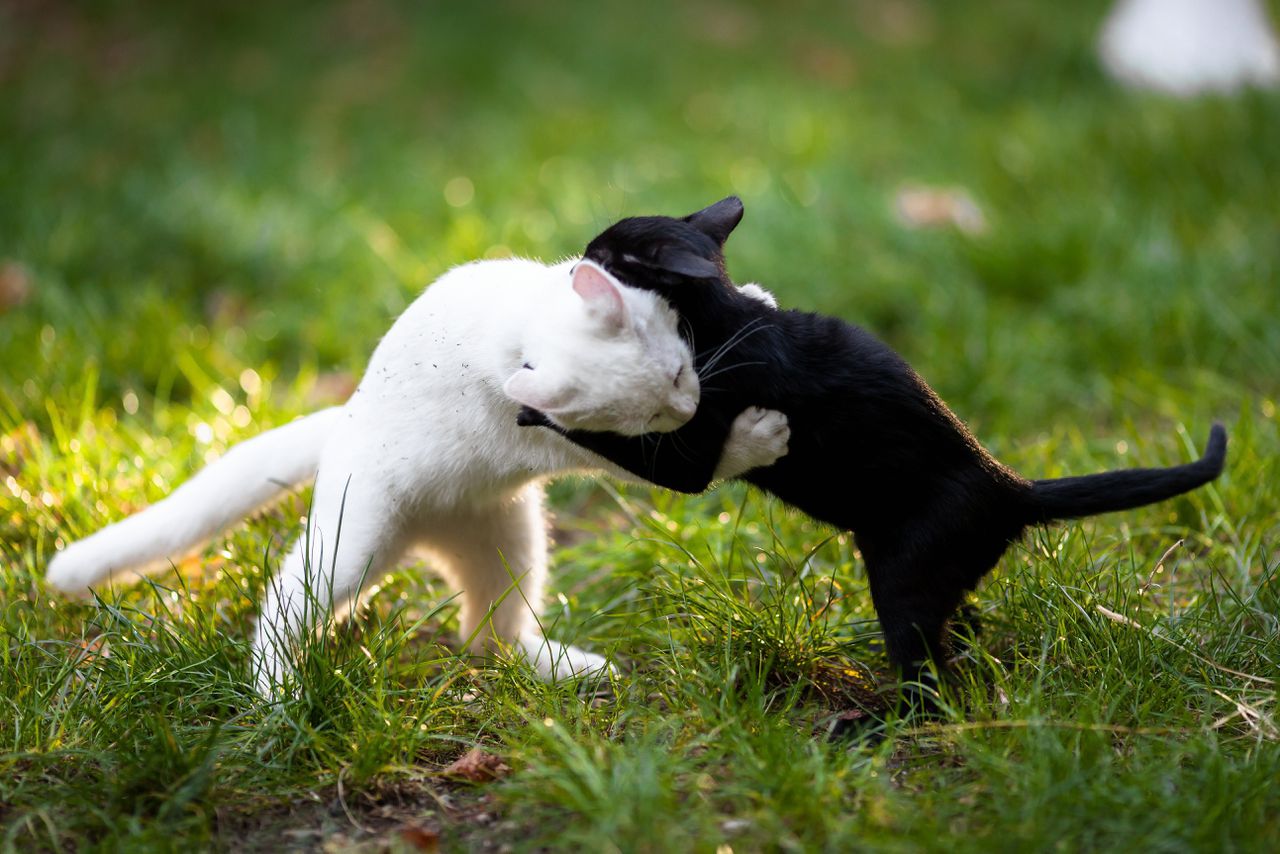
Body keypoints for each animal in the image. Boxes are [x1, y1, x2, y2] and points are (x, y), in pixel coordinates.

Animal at [47, 258, 788, 696]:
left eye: (678, 373)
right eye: (651, 415)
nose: (688, 407)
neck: (518, 330)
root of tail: (345, 419)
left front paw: (754, 293)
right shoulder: (603, 449)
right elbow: (703, 461)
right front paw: (759, 437)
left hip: (514, 543)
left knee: (489, 636)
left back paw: (559, 667)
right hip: (347, 549)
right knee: (283, 605)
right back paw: (278, 697)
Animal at [522, 197, 1228, 717]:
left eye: (605, 255)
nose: (574, 261)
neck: (724, 314)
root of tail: (1009, 484)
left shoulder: (693, 454)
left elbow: (615, 439)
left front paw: (536, 402)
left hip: (902, 582)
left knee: (929, 687)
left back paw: (873, 725)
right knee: (960, 636)